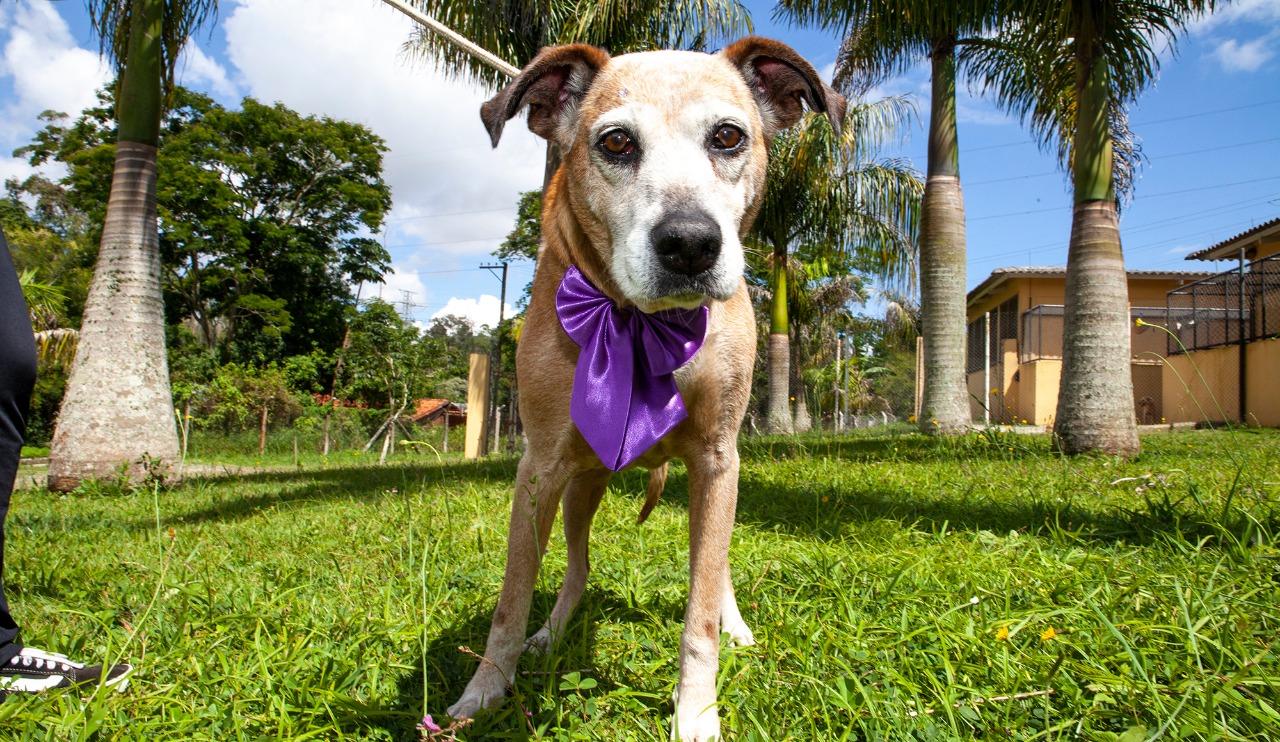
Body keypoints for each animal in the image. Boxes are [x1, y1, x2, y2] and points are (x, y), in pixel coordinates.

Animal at [445, 37, 844, 736]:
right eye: (617, 143)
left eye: (728, 136)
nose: (690, 244)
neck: (645, 323)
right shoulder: (538, 468)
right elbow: (511, 598)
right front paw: (484, 691)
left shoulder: (717, 461)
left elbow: (700, 611)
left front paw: (697, 711)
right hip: (581, 487)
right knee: (576, 569)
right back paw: (552, 632)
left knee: (715, 570)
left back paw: (735, 624)